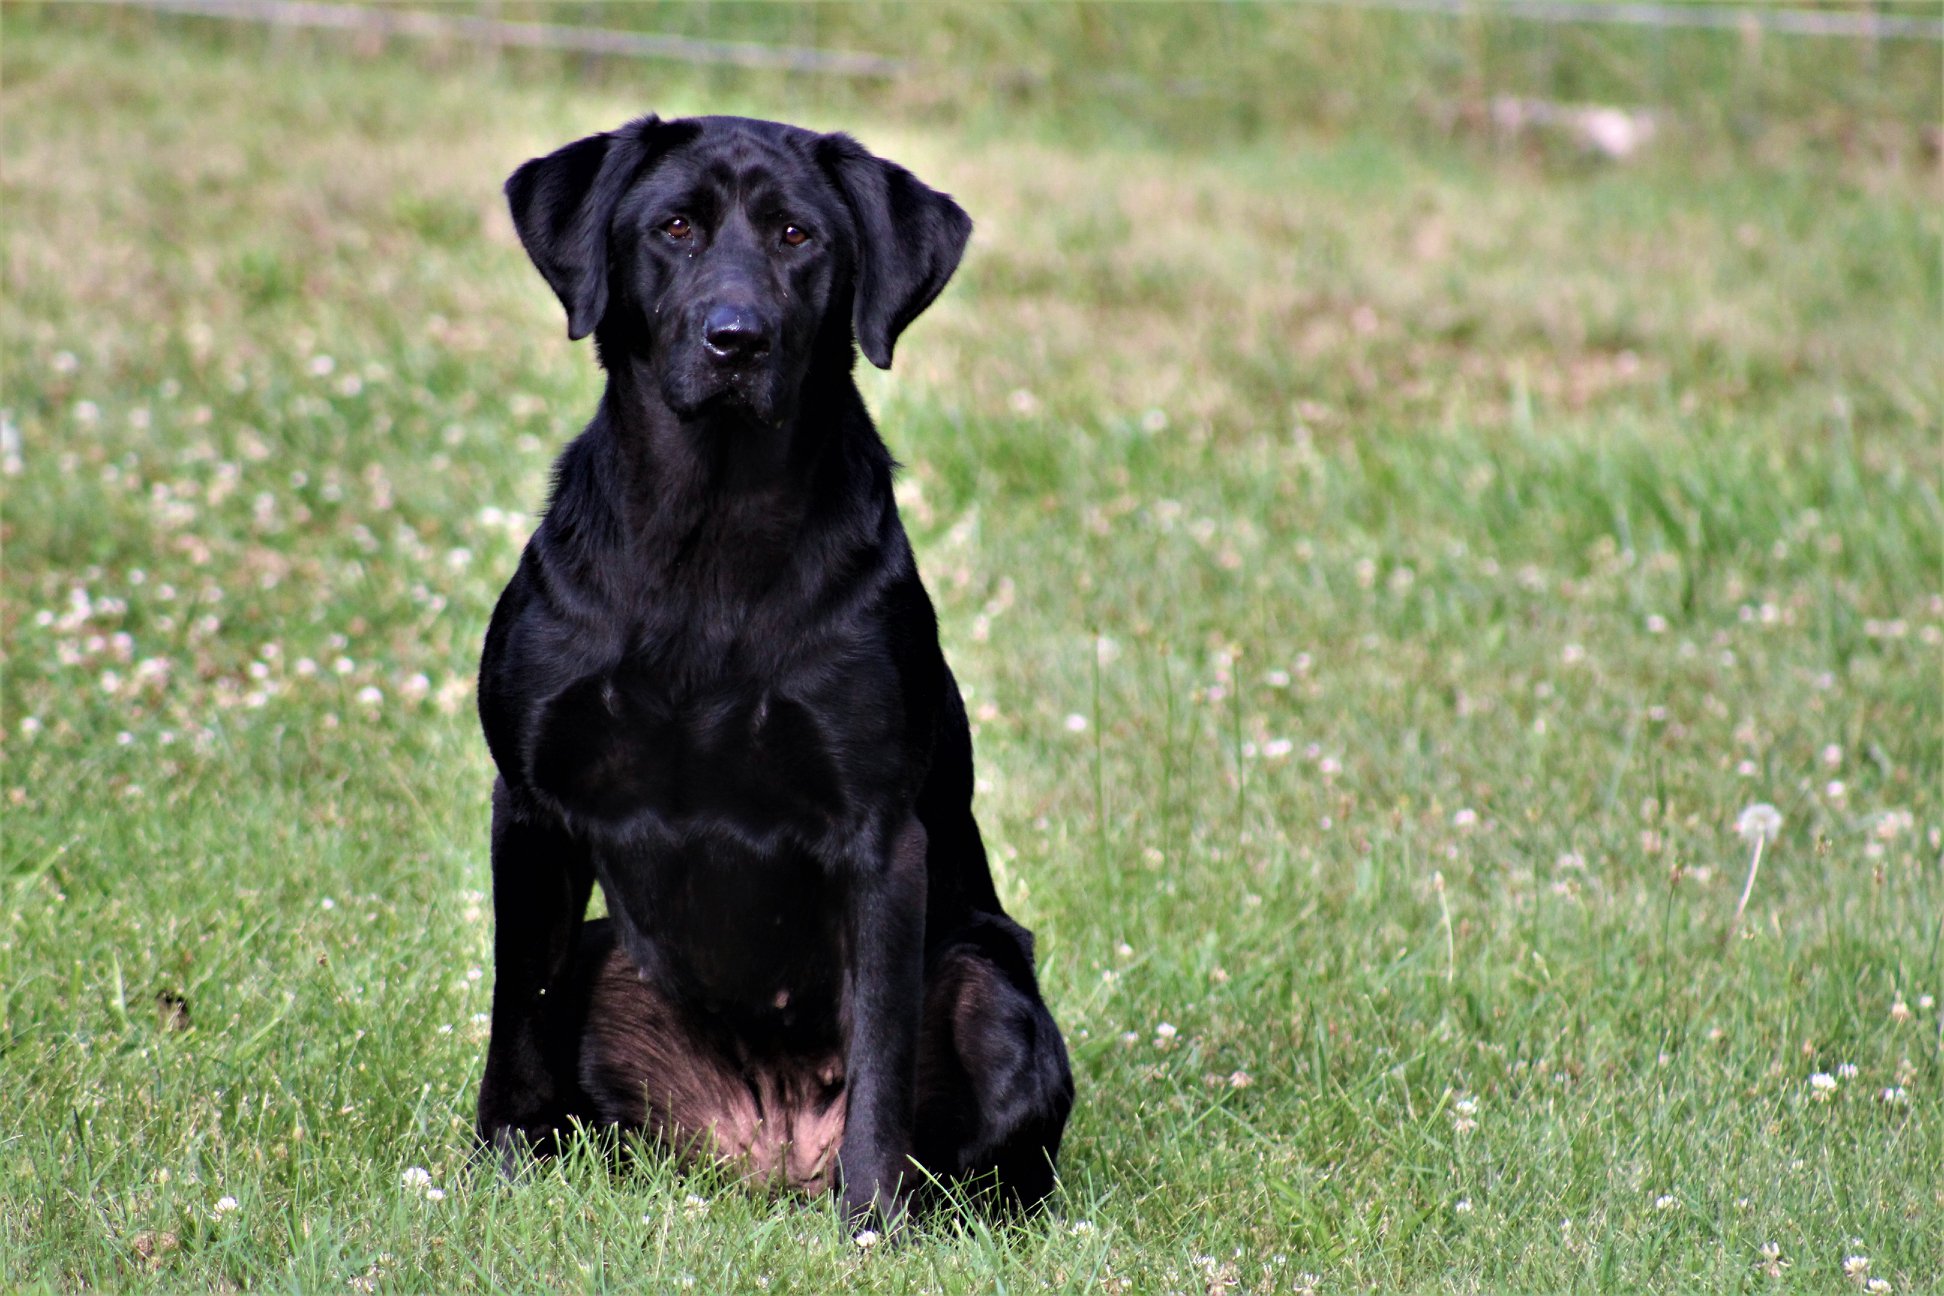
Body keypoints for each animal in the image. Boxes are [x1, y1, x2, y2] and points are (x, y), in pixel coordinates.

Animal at [472, 114, 1080, 1227]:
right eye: (673, 227)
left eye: (799, 236)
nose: (736, 338)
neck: (708, 536)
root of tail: (769, 1149)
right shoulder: (529, 808)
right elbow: (514, 1021)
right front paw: (495, 1170)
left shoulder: (880, 838)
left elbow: (881, 1054)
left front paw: (872, 1225)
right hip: (605, 958)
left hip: (991, 987)